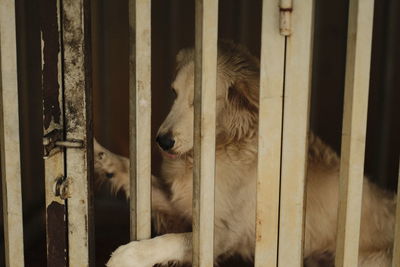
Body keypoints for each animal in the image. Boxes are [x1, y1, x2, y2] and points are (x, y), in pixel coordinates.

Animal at [94, 40, 396, 266]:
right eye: (173, 92)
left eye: (200, 102)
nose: (162, 141)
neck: (227, 144)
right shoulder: (182, 203)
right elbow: (130, 170)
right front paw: (100, 156)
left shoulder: (221, 235)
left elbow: (171, 240)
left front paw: (129, 254)